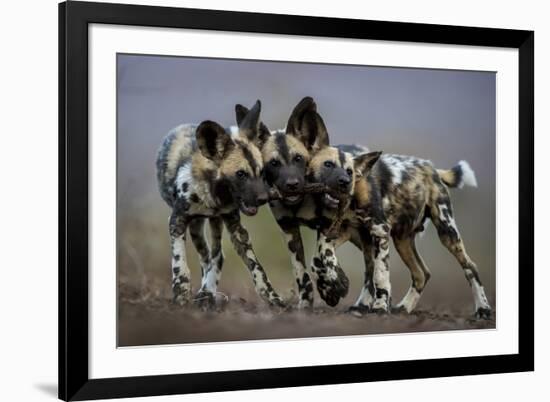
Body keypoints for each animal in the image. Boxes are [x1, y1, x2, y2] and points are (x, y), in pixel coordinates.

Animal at [155, 99, 284, 308]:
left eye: (261, 172)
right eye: (241, 174)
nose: (264, 198)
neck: (213, 197)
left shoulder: (235, 227)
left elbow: (255, 266)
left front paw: (272, 297)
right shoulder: (177, 221)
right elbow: (179, 261)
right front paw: (181, 292)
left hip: (214, 223)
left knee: (216, 256)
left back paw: (207, 292)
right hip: (197, 227)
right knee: (205, 256)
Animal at [235, 97, 352, 308]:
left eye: (298, 159)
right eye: (273, 163)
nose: (292, 185)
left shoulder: (328, 224)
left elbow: (322, 255)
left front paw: (333, 284)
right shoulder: (289, 230)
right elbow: (302, 273)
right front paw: (306, 302)